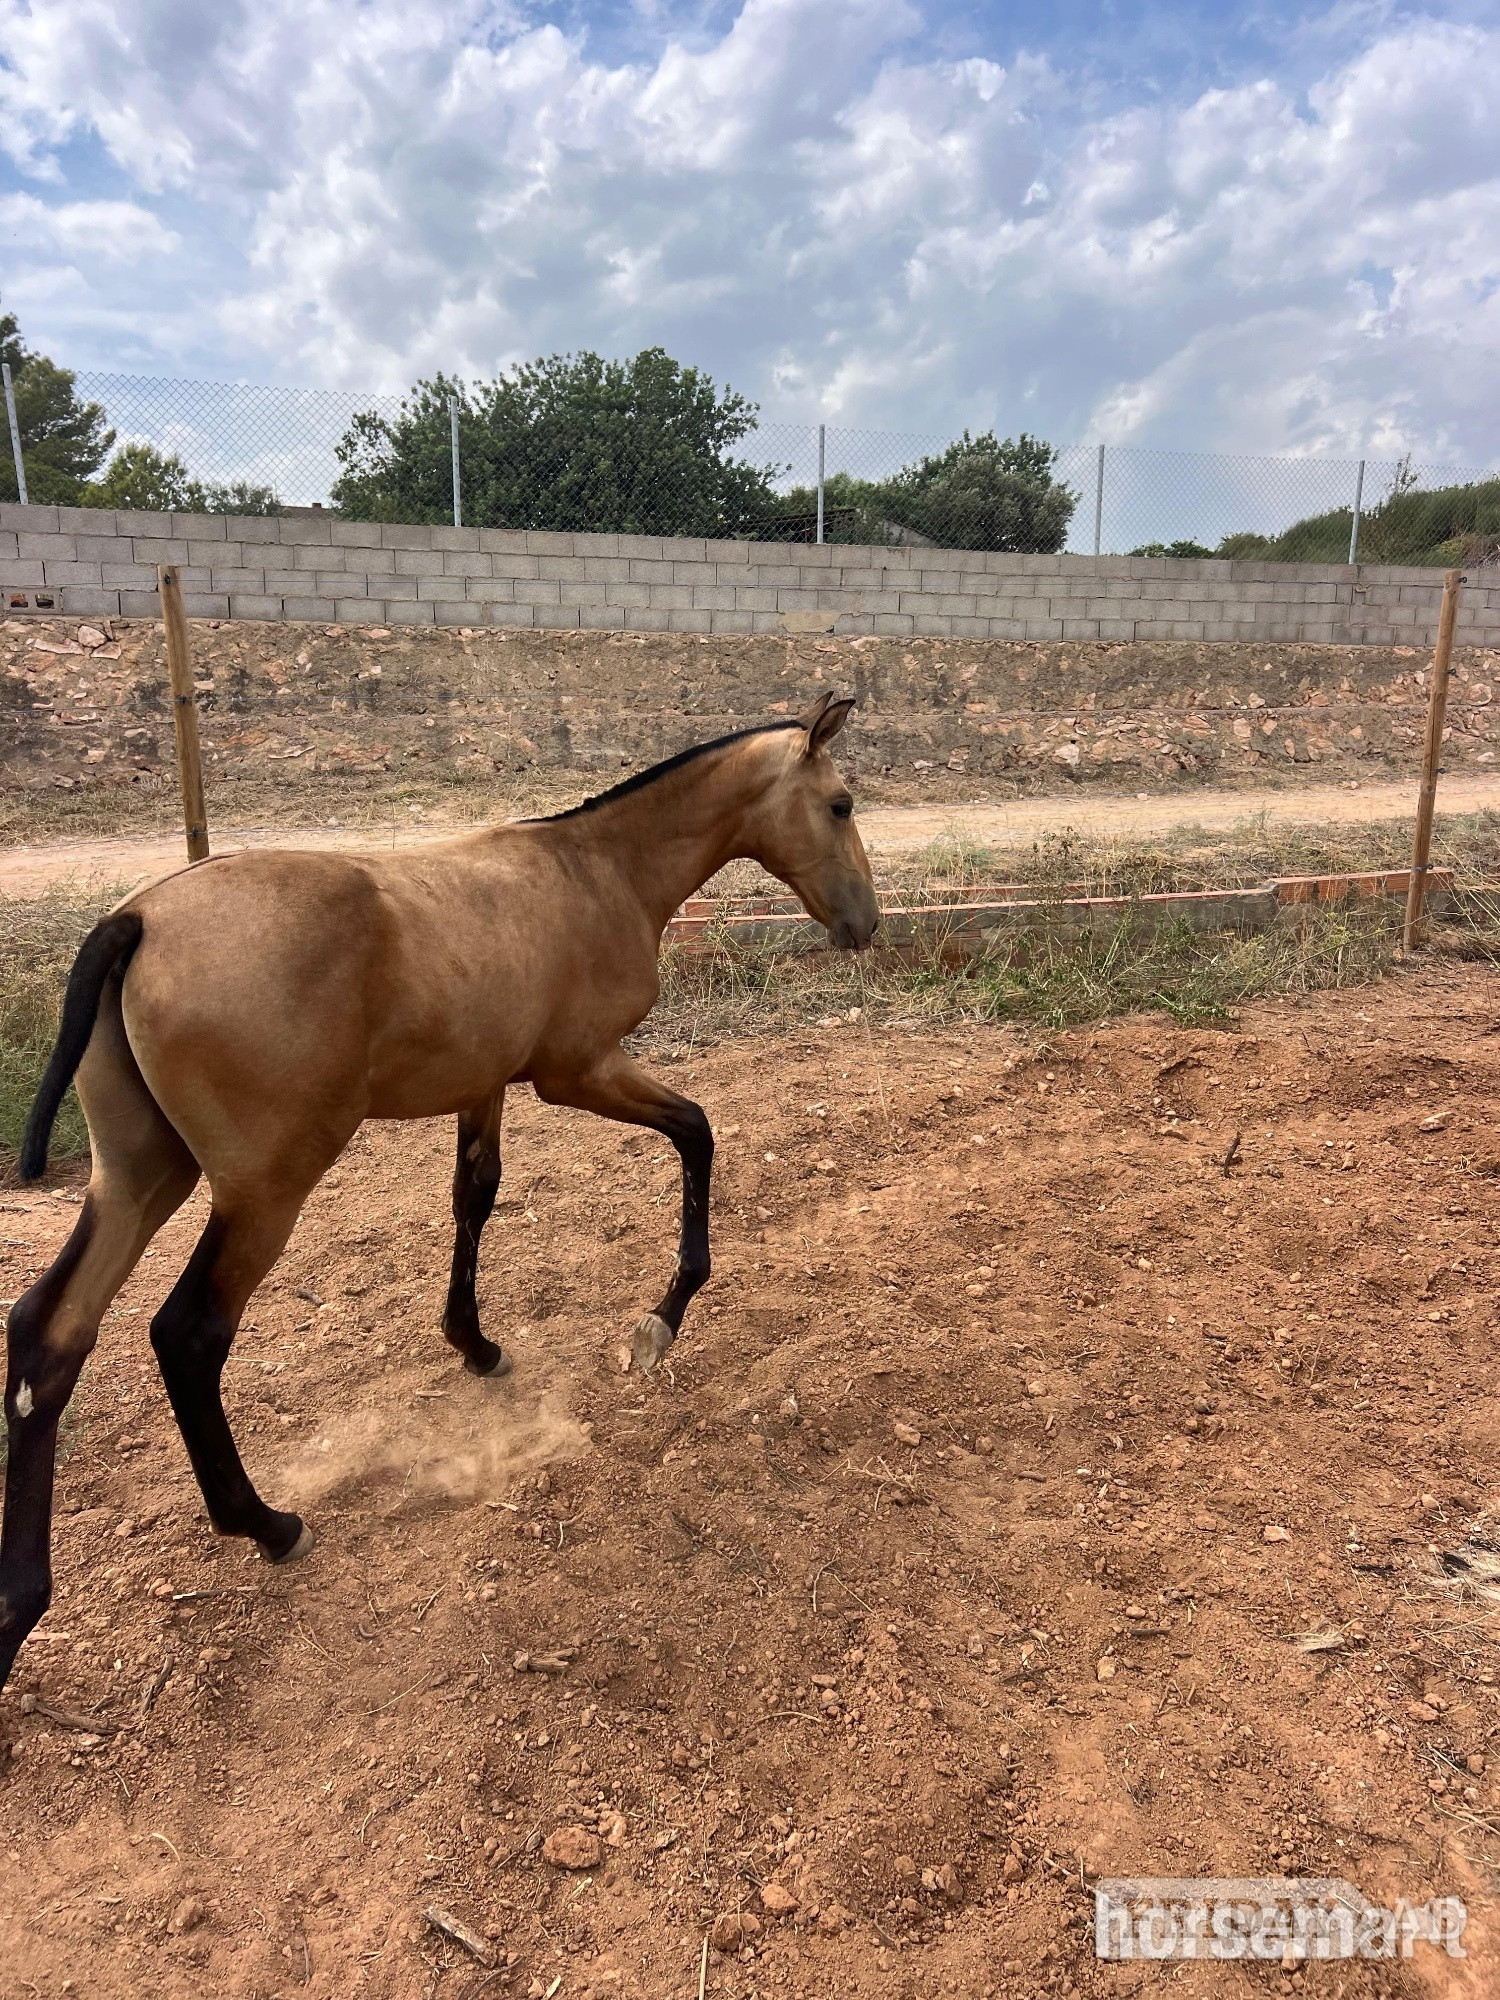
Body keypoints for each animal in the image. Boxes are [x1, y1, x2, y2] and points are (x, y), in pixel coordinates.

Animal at [0, 692, 878, 1694]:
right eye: (842, 803)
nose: (866, 924)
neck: (598, 868)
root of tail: (137, 919)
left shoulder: (485, 1083)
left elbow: (475, 1197)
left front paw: (475, 1342)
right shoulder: (579, 1072)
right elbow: (696, 1131)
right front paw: (662, 1319)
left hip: (143, 1176)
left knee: (49, 1334)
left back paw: (21, 1602)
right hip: (264, 1187)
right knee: (187, 1335)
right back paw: (266, 1526)